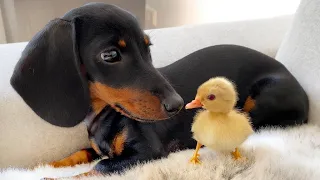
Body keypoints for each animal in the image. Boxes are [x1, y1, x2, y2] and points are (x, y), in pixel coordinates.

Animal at [11, 2, 308, 177]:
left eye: (147, 48)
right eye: (110, 55)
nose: (178, 105)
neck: (103, 115)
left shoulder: (144, 152)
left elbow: (97, 168)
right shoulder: (97, 148)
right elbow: (79, 154)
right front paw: (40, 167)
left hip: (262, 98)